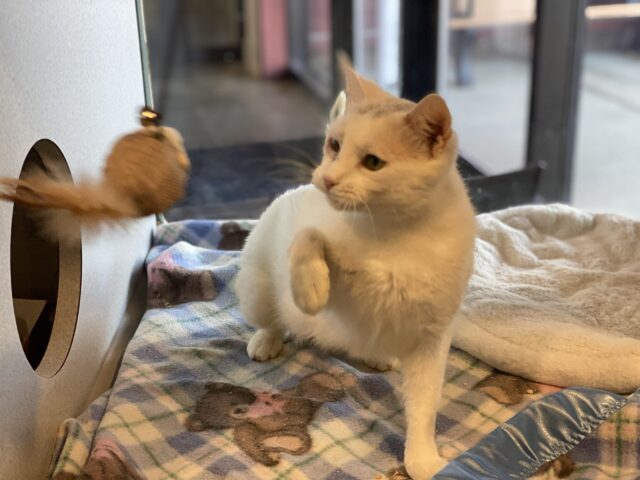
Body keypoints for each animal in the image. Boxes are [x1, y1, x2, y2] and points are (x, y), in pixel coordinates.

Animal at [235, 57, 476, 480]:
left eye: (373, 162)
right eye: (335, 145)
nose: (327, 179)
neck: (396, 233)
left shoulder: (432, 337)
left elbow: (426, 403)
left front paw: (423, 457)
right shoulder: (330, 268)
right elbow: (309, 238)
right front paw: (309, 288)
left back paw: (381, 355)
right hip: (256, 289)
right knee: (271, 317)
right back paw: (267, 338)